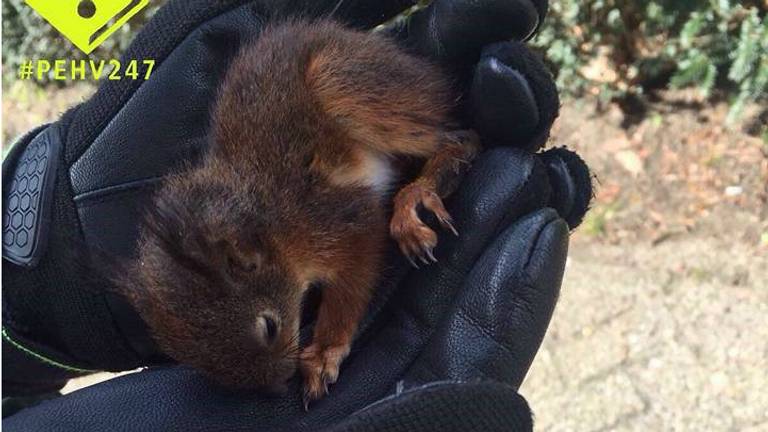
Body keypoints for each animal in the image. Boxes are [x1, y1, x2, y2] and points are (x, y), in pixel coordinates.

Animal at [119, 19, 476, 404]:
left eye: (269, 327)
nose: (277, 387)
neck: (269, 227)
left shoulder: (339, 220)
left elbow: (350, 286)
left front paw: (323, 353)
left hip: (350, 86)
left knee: (460, 138)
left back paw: (416, 197)